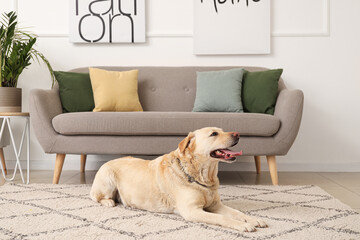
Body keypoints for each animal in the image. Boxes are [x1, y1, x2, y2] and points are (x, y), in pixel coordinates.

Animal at [90, 126, 268, 232]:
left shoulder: (216, 205)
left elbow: (236, 212)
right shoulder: (192, 211)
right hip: (108, 179)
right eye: (214, 134)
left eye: (222, 130)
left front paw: (254, 220)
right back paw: (109, 201)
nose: (238, 134)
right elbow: (221, 218)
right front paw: (243, 225)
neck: (202, 176)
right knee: (96, 197)